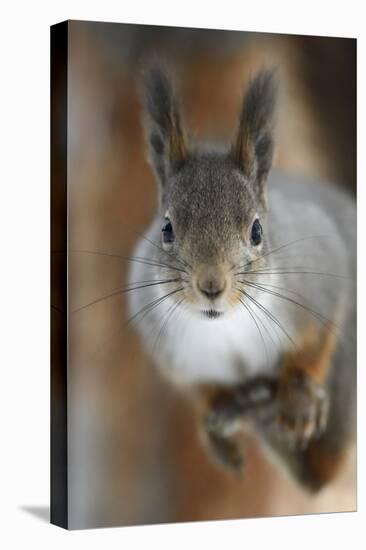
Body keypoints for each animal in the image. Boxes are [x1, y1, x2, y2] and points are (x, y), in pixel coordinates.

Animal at [127, 62, 356, 494]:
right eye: (166, 228)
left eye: (257, 230)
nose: (211, 285)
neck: (225, 326)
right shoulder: (173, 352)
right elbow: (202, 390)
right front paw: (217, 419)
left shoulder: (319, 281)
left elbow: (315, 345)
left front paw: (298, 398)